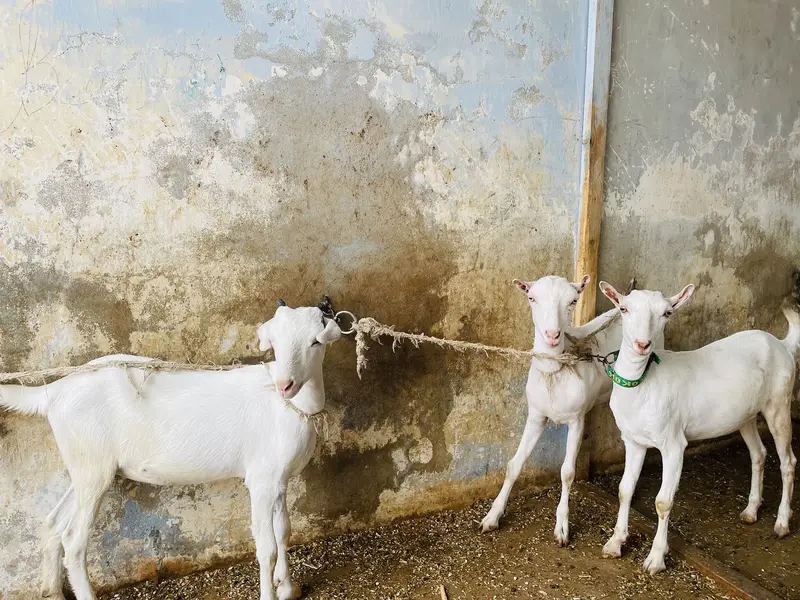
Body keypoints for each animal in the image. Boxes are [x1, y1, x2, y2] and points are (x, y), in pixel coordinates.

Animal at [0, 302, 342, 600]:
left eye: (315, 342)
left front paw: (288, 588)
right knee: (74, 539)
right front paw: (272, 593)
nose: (285, 384)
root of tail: (55, 390)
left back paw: (52, 591)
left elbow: (284, 532)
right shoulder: (261, 480)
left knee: (54, 523)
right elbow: (267, 547)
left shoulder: (279, 480)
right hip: (92, 466)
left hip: (87, 466)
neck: (292, 407)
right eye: (275, 343)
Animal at [480, 275, 663, 545]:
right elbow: (515, 463)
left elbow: (567, 472)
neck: (555, 371)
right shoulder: (536, 415)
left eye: (573, 301)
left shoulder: (577, 419)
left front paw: (562, 528)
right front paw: (492, 516)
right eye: (531, 298)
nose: (552, 335)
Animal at [598, 281, 799, 574]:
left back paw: (782, 523)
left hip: (779, 403)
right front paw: (615, 543)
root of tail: (783, 345)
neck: (644, 385)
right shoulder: (633, 440)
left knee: (788, 462)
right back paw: (751, 511)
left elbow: (663, 501)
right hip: (745, 414)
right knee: (758, 453)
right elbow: (625, 490)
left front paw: (655, 559)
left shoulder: (673, 444)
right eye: (623, 309)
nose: (642, 345)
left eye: (667, 313)